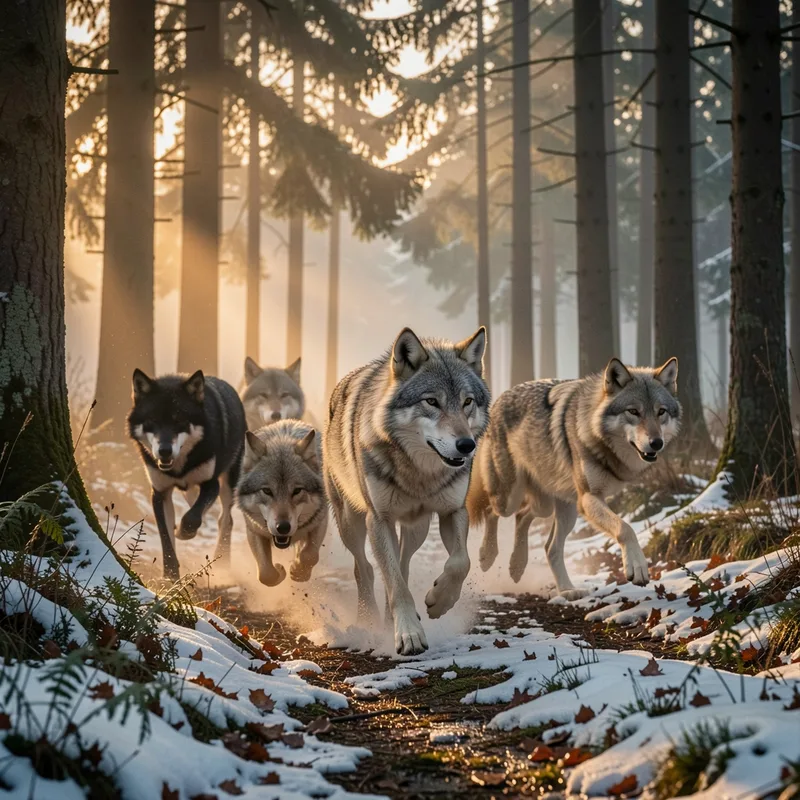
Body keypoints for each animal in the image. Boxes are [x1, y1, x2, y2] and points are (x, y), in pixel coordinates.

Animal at [127, 370, 246, 581]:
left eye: (179, 421)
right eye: (152, 421)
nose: (164, 451)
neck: (180, 466)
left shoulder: (211, 484)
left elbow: (191, 519)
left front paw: (183, 533)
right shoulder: (160, 493)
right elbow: (165, 537)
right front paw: (170, 576)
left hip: (228, 484)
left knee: (226, 519)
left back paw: (222, 562)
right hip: (190, 490)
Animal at [235, 420, 328, 586]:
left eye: (297, 491)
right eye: (267, 491)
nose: (283, 527)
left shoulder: (320, 520)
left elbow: (310, 555)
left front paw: (299, 570)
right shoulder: (254, 530)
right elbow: (265, 574)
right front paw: (280, 570)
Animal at [323, 326, 490, 655]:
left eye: (467, 402)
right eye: (432, 402)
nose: (466, 445)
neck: (419, 474)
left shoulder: (453, 511)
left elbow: (460, 562)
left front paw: (439, 602)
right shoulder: (379, 519)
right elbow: (395, 585)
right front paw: (409, 635)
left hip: (417, 528)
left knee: (403, 563)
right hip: (351, 522)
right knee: (367, 569)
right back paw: (369, 619)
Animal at [468, 357, 681, 599]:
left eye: (661, 412)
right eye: (633, 411)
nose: (656, 443)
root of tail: (498, 399)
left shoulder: (587, 500)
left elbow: (623, 526)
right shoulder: (588, 498)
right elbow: (625, 528)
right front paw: (637, 568)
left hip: (555, 507)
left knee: (539, 535)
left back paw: (545, 579)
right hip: (510, 498)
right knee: (491, 511)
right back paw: (487, 556)